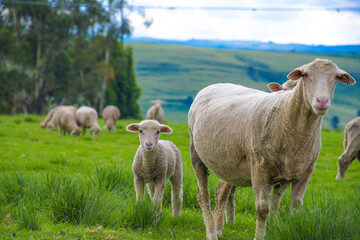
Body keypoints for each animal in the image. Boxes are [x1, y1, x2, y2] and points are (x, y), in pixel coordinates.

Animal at [187, 58, 356, 240]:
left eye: (336, 78)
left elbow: (291, 206)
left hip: (228, 164)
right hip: (196, 153)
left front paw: (275, 228)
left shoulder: (303, 171)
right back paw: (212, 232)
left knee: (221, 192)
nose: (322, 101)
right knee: (204, 194)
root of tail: (213, 85)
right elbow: (263, 208)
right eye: (305, 75)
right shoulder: (260, 168)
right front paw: (259, 236)